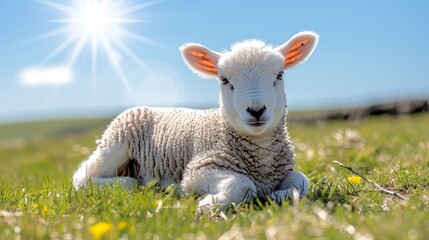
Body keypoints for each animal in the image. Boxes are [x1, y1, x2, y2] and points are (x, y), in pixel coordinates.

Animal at [72, 31, 318, 208]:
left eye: (280, 75)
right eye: (224, 80)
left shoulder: (284, 170)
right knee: (82, 177)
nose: (256, 110)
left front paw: (279, 196)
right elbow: (243, 184)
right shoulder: (198, 169)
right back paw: (135, 183)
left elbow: (301, 181)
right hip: (115, 145)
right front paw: (210, 204)